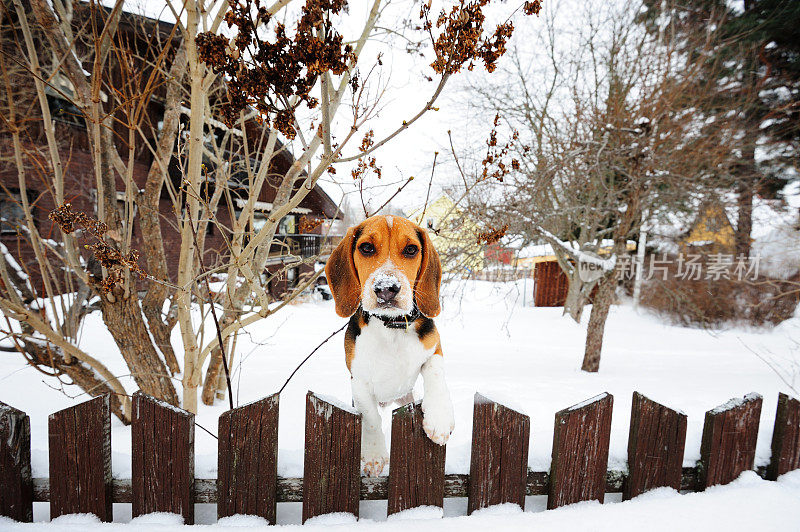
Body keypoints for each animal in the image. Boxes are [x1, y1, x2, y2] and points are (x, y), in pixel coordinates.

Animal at [324, 214, 450, 476]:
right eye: (366, 248)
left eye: (411, 249)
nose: (386, 289)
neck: (392, 326)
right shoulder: (359, 380)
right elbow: (371, 417)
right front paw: (374, 455)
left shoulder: (434, 347)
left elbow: (435, 371)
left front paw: (440, 418)